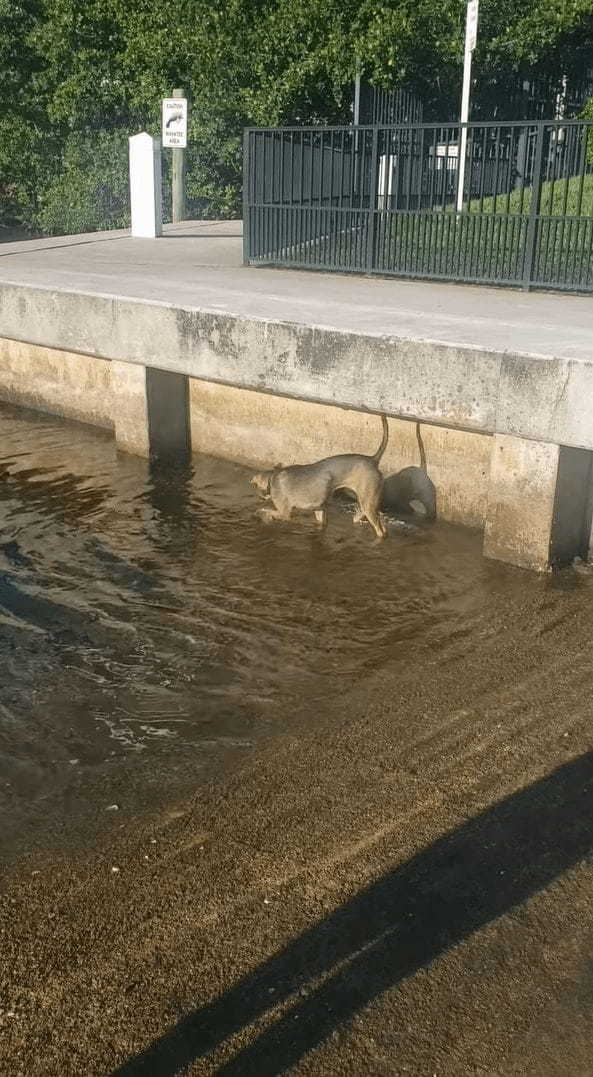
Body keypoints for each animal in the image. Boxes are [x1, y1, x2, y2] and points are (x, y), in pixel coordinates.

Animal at [250, 417, 389, 542]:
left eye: (255, 487)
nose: (258, 498)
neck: (272, 478)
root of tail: (372, 459)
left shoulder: (285, 513)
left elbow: (264, 511)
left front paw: (261, 515)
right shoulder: (319, 510)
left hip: (368, 505)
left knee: (380, 531)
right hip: (364, 501)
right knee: (377, 523)